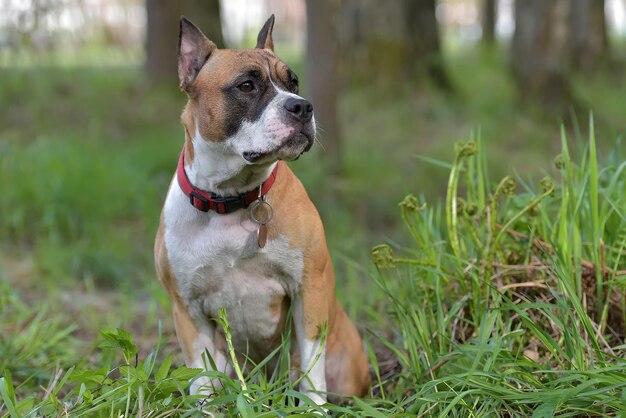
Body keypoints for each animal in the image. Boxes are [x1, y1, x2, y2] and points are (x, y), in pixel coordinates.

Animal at [154, 14, 370, 404]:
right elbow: (202, 377)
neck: (230, 198)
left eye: (293, 82)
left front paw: (314, 409)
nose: (302, 106)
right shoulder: (188, 311)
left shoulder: (308, 289)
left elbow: (312, 370)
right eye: (246, 86)